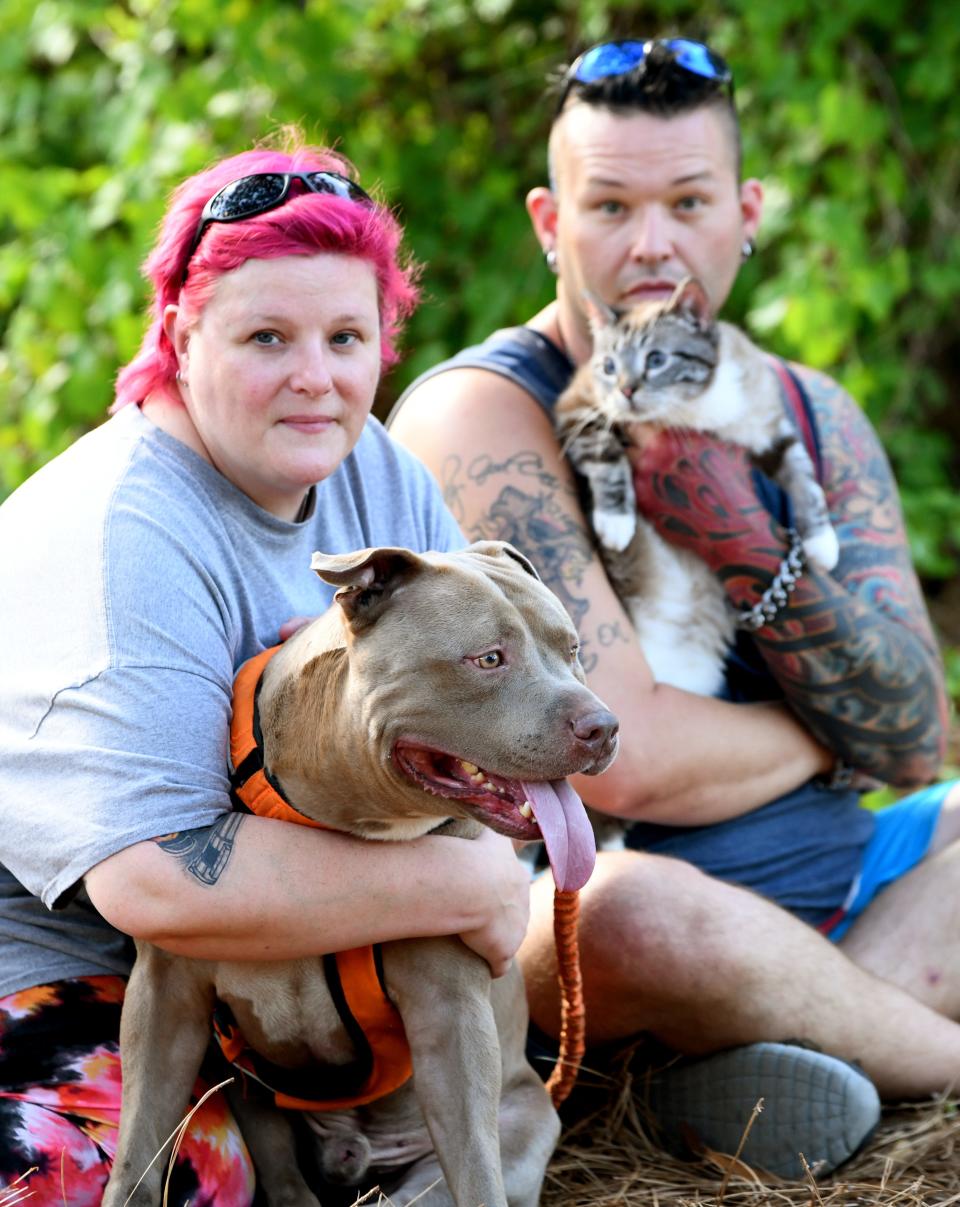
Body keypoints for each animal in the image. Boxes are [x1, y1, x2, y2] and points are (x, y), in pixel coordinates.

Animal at [101, 543, 618, 1207]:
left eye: (572, 648)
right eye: (488, 658)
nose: (605, 728)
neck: (342, 822)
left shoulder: (450, 1012)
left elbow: (477, 1170)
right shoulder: (164, 993)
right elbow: (138, 1145)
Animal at [560, 276, 835, 700]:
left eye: (656, 359)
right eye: (609, 367)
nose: (626, 390)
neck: (692, 409)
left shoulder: (772, 432)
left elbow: (805, 480)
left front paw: (823, 543)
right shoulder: (579, 409)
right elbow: (607, 459)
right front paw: (616, 522)